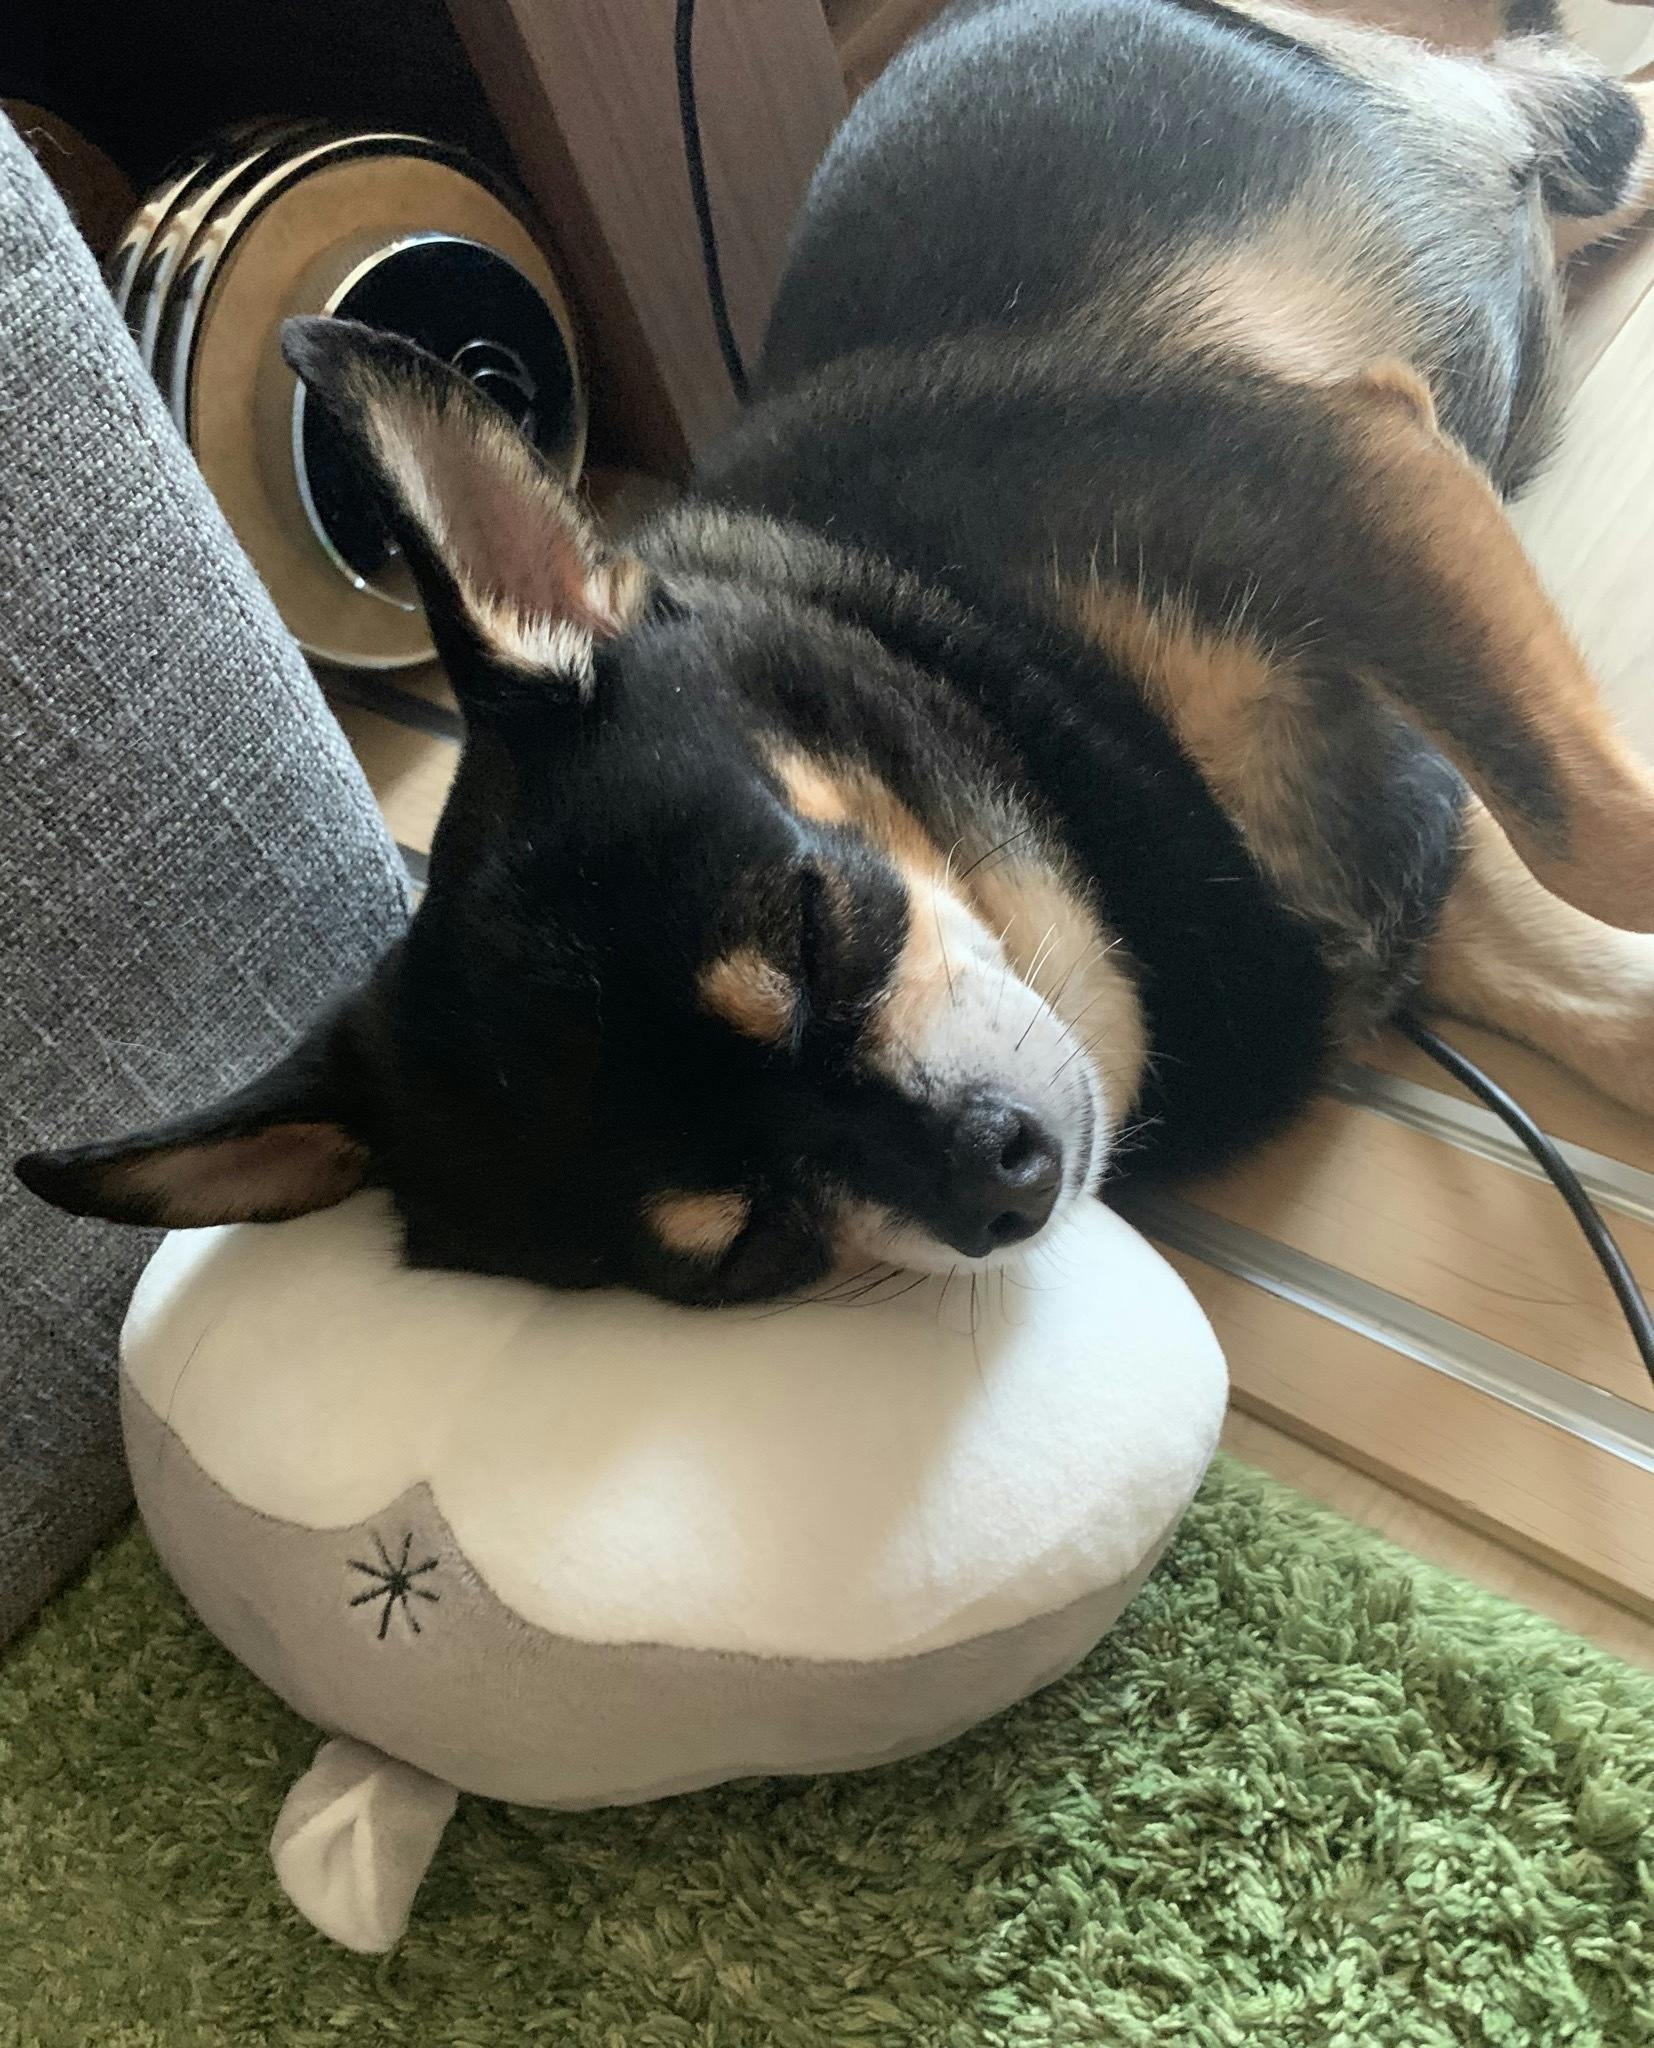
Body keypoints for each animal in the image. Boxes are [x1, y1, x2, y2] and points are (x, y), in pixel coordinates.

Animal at [19, 0, 1654, 1305]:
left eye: (811, 925)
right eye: (749, 1247)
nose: (998, 1177)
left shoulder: (1345, 485)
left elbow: (1594, 833)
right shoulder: (1385, 823)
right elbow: (1587, 956)